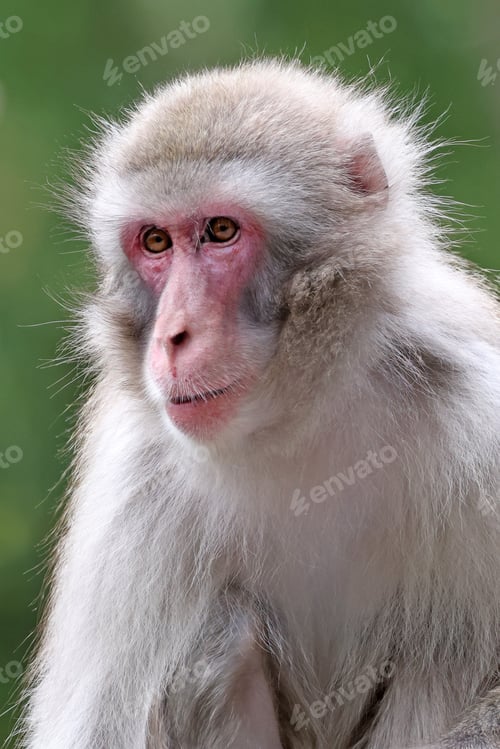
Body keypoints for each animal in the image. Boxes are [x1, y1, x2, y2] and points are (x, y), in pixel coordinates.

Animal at [19, 59, 500, 749]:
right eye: (156, 242)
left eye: (221, 231)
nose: (172, 336)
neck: (300, 419)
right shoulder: (133, 485)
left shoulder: (480, 408)